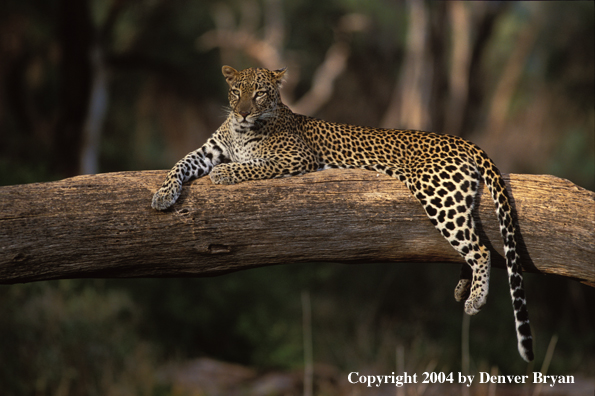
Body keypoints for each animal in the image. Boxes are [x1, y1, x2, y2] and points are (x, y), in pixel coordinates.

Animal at [151, 65, 532, 362]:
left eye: (259, 94)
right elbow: (180, 164)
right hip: (455, 199)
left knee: (480, 248)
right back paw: (462, 287)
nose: (243, 112)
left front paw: (224, 173)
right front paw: (162, 195)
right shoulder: (206, 151)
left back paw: (475, 299)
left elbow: (252, 166)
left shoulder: (295, 158)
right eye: (235, 91)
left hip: (439, 195)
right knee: (473, 240)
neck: (242, 129)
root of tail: (463, 140)